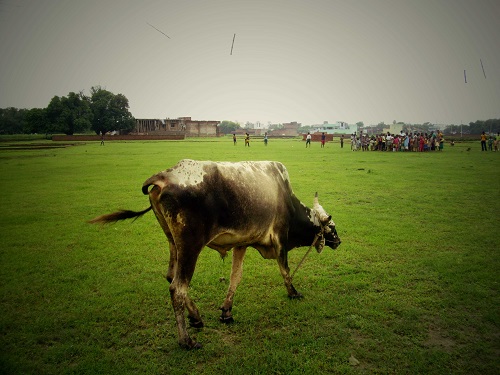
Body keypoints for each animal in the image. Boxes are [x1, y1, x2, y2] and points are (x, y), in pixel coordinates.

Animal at [89, 159, 340, 350]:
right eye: (331, 227)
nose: (338, 242)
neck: (284, 196)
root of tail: (163, 176)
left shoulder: (241, 244)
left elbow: (235, 277)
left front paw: (226, 311)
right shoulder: (279, 239)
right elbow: (285, 270)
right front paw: (293, 292)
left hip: (173, 243)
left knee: (170, 276)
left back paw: (196, 317)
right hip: (190, 246)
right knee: (177, 287)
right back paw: (187, 341)